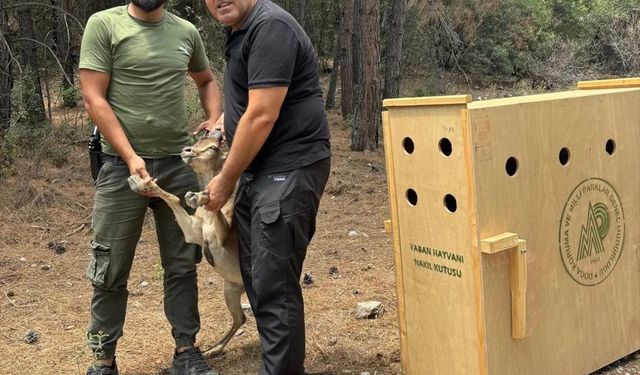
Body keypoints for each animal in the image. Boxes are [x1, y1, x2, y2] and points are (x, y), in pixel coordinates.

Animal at [127, 131, 245, 356]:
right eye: (199, 140)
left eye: (213, 147)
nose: (186, 151)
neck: (206, 220)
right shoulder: (192, 233)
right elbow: (174, 198)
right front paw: (138, 181)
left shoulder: (226, 238)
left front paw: (200, 197)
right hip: (230, 289)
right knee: (240, 318)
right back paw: (212, 350)